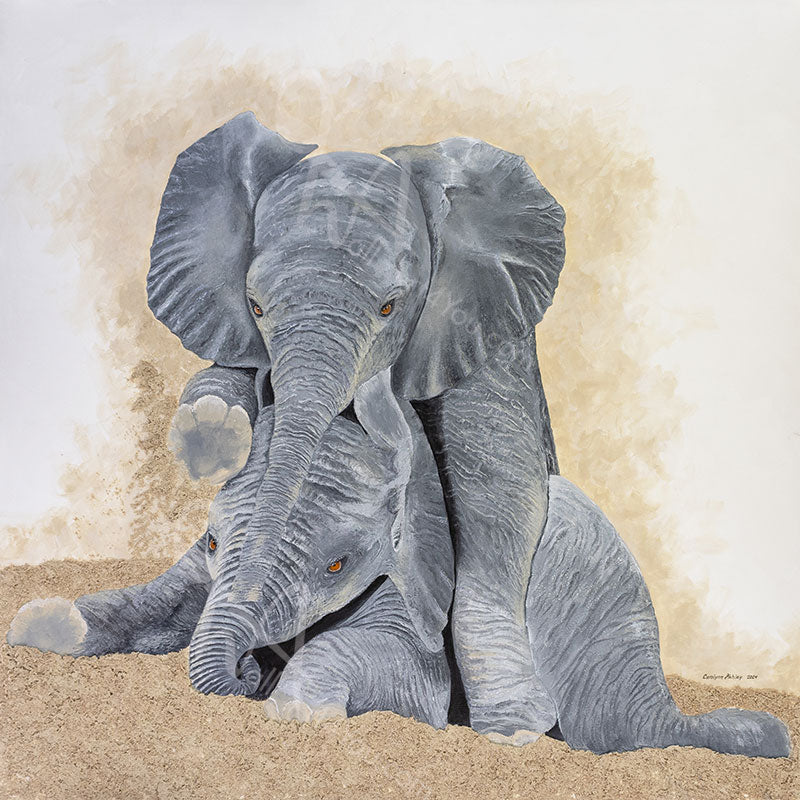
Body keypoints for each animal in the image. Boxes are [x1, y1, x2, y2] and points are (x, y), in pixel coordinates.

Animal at [146, 111, 564, 738]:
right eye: (256, 306)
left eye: (391, 308)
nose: (250, 670)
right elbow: (230, 373)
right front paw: (214, 432)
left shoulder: (488, 324)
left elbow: (497, 489)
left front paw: (513, 731)